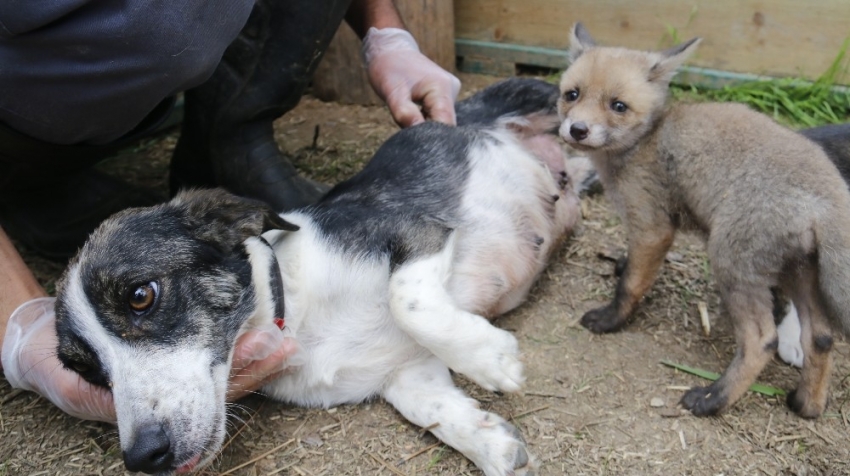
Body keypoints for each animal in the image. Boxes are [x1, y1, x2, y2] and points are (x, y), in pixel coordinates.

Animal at [54, 79, 588, 476]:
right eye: (84, 370)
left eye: (141, 296)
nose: (144, 457)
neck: (300, 314)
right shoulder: (407, 371)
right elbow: (433, 411)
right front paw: (493, 445)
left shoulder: (416, 231)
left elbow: (408, 302)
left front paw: (490, 358)